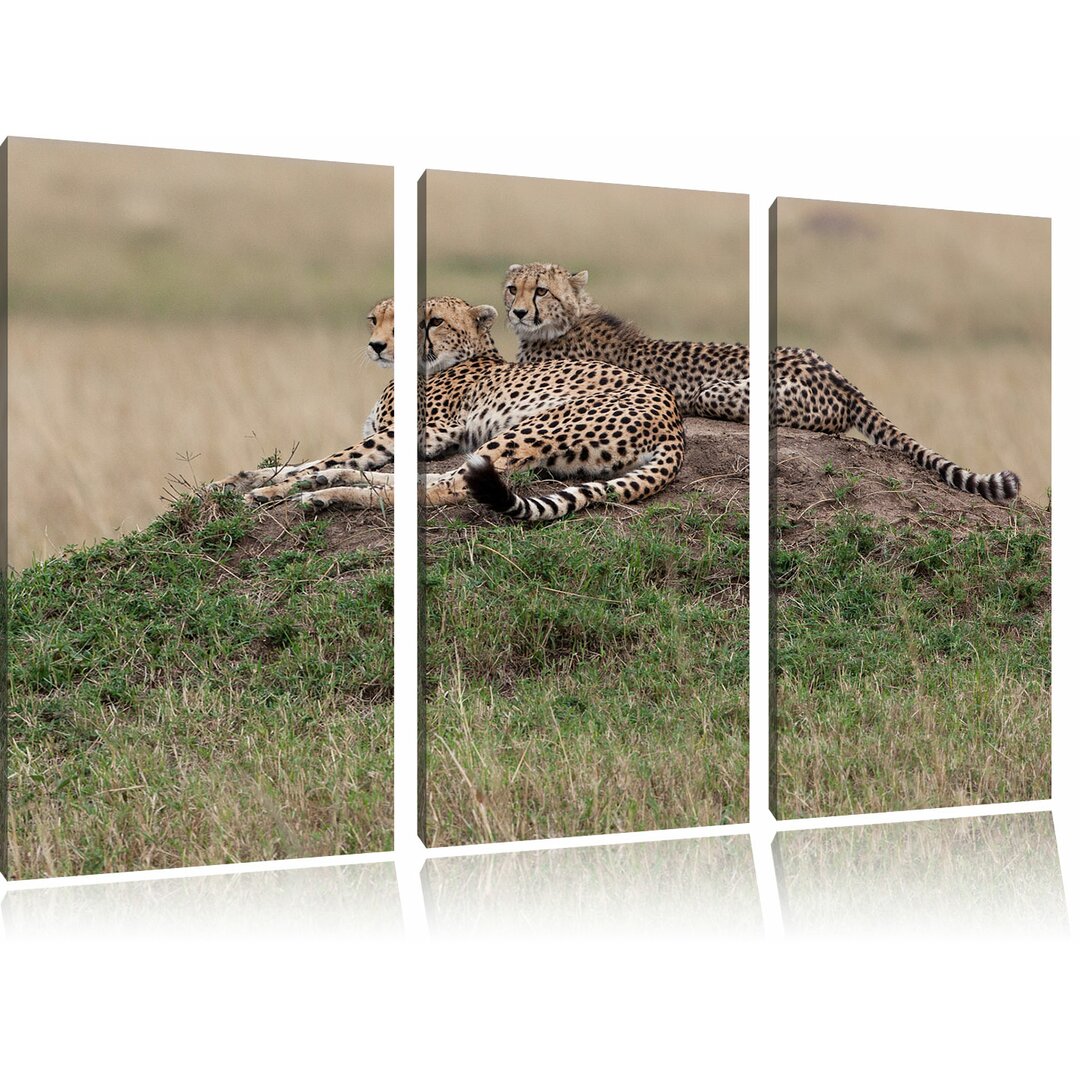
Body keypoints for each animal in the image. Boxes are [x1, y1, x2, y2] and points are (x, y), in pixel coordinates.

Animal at [501, 261, 1015, 501]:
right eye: (512, 288)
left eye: (541, 290)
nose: (518, 312)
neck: (568, 320)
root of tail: (841, 378)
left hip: (721, 392)